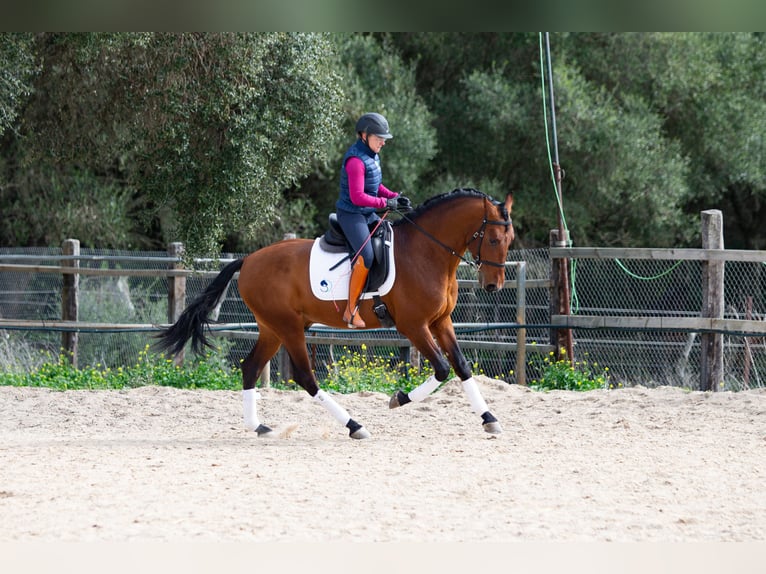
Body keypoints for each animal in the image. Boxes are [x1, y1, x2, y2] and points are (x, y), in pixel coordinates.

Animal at [154, 188, 515, 439]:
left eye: (509, 239)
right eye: (494, 239)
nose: (494, 285)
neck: (426, 252)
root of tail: (250, 259)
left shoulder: (441, 322)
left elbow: (462, 366)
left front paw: (490, 420)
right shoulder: (414, 325)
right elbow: (441, 369)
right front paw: (398, 399)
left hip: (272, 328)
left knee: (251, 367)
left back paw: (259, 427)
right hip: (289, 327)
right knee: (305, 377)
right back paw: (354, 425)